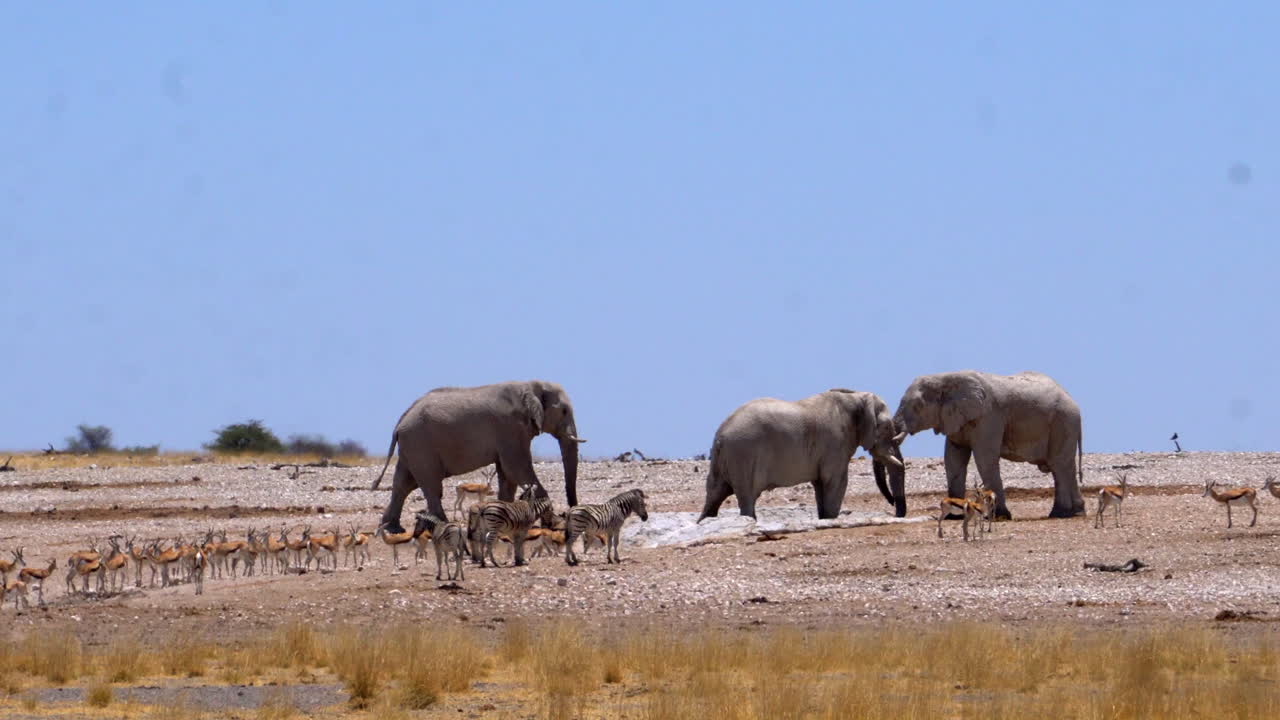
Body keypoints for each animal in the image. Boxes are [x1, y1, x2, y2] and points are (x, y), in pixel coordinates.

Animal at [370, 380, 585, 534]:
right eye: (564, 411)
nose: (569, 513)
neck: (532, 384)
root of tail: (399, 423)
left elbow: (507, 474)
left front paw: (505, 519)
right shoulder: (510, 428)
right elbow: (517, 467)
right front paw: (553, 524)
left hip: (412, 447)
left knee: (403, 484)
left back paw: (392, 528)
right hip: (420, 445)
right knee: (430, 486)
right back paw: (444, 525)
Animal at [697, 389, 907, 522]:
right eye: (887, 428)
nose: (895, 510)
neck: (856, 396)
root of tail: (720, 436)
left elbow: (821, 484)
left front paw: (824, 518)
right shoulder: (835, 443)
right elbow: (836, 481)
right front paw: (831, 519)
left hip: (725, 460)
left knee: (714, 496)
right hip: (743, 455)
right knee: (746, 497)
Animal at [892, 370, 1084, 520]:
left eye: (918, 406)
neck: (945, 378)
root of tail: (1073, 401)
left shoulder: (989, 416)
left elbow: (984, 459)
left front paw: (1000, 516)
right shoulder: (956, 419)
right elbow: (953, 459)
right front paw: (954, 516)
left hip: (1063, 422)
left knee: (1058, 466)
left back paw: (1060, 513)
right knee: (1066, 466)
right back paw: (1076, 512)